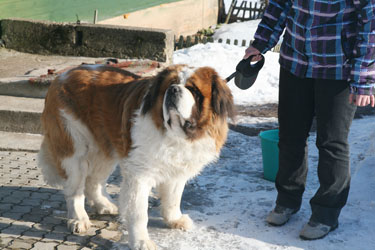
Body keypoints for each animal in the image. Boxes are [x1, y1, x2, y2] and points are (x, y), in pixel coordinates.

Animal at [39, 63, 238, 249]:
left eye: (194, 90)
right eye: (170, 84)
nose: (173, 90)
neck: (176, 135)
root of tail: (62, 75)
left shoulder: (177, 171)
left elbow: (173, 199)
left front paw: (174, 220)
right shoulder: (140, 176)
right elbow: (139, 213)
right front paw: (141, 241)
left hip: (105, 148)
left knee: (93, 181)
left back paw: (104, 205)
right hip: (74, 149)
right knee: (75, 189)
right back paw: (78, 218)